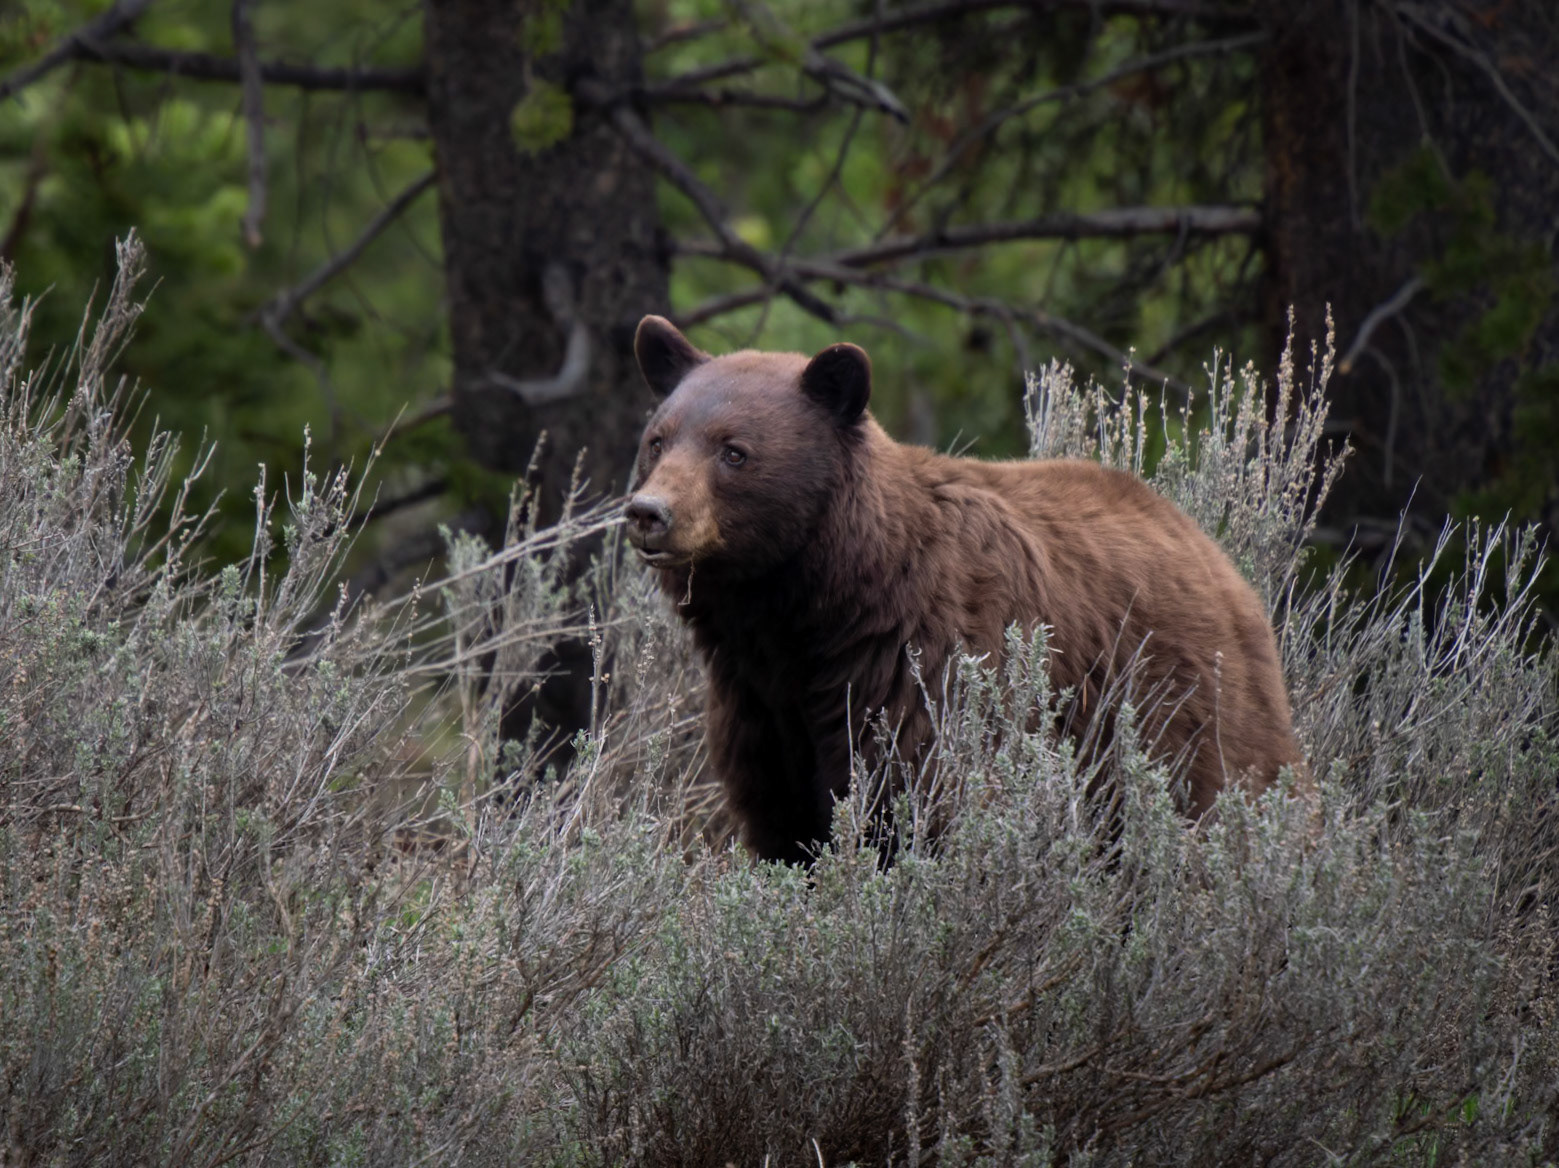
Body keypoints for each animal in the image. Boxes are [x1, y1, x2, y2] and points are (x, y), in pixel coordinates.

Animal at [625, 315, 1305, 864]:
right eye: (658, 440)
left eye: (734, 452)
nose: (649, 512)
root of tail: (1213, 553)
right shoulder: (759, 706)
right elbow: (784, 822)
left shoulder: (924, 663)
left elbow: (926, 799)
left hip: (1181, 706)